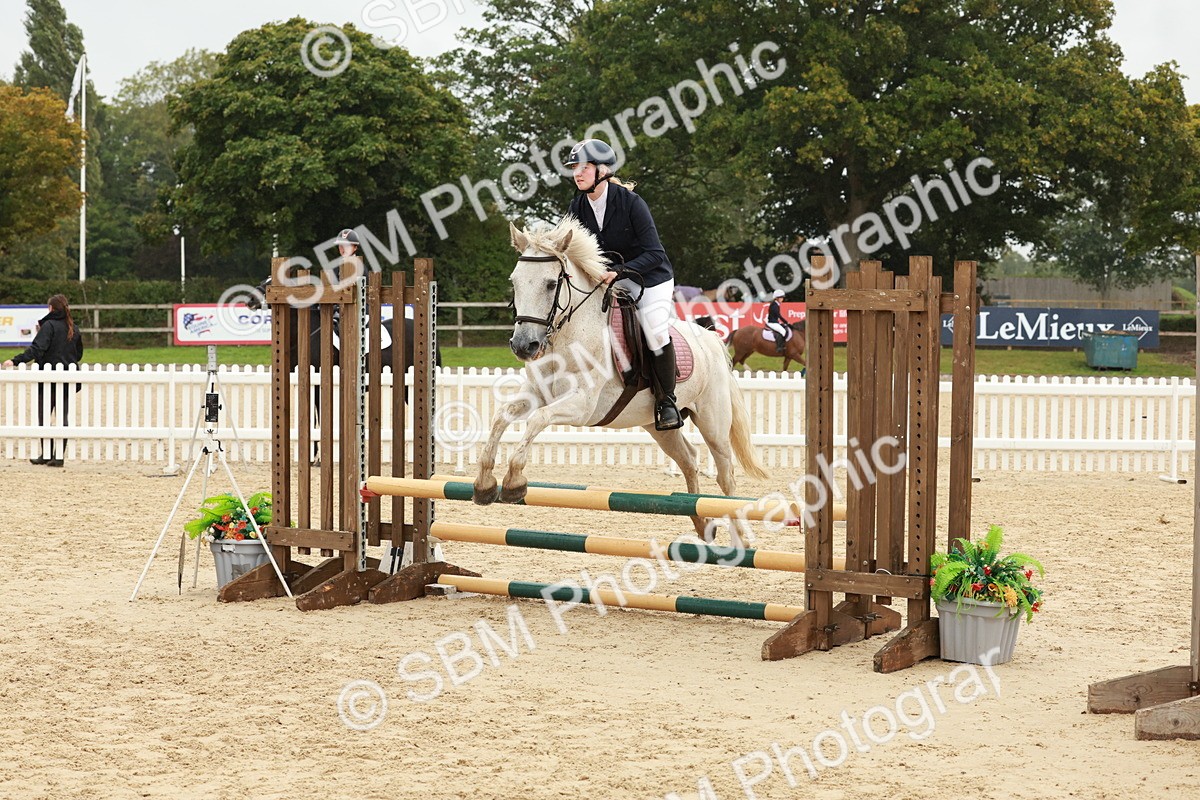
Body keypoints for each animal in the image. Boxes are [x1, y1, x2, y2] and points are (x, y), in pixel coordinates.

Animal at [471, 217, 769, 544]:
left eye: (550, 284)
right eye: (514, 282)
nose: (524, 346)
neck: (568, 335)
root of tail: (711, 339)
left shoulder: (581, 406)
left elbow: (537, 420)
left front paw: (514, 482)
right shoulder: (537, 394)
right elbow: (502, 417)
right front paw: (484, 483)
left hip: (713, 423)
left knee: (726, 475)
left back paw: (739, 538)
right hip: (657, 426)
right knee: (689, 459)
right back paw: (701, 523)